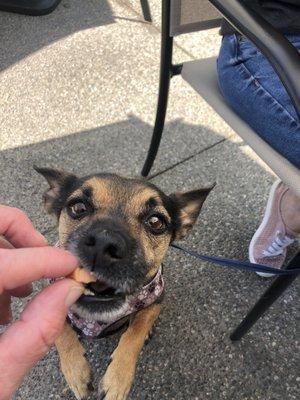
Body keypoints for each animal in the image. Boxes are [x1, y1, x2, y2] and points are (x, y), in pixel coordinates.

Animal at [35, 167, 213, 400]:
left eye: (156, 222)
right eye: (78, 207)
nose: (103, 243)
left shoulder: (155, 300)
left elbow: (135, 334)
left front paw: (118, 379)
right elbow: (62, 333)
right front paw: (76, 372)